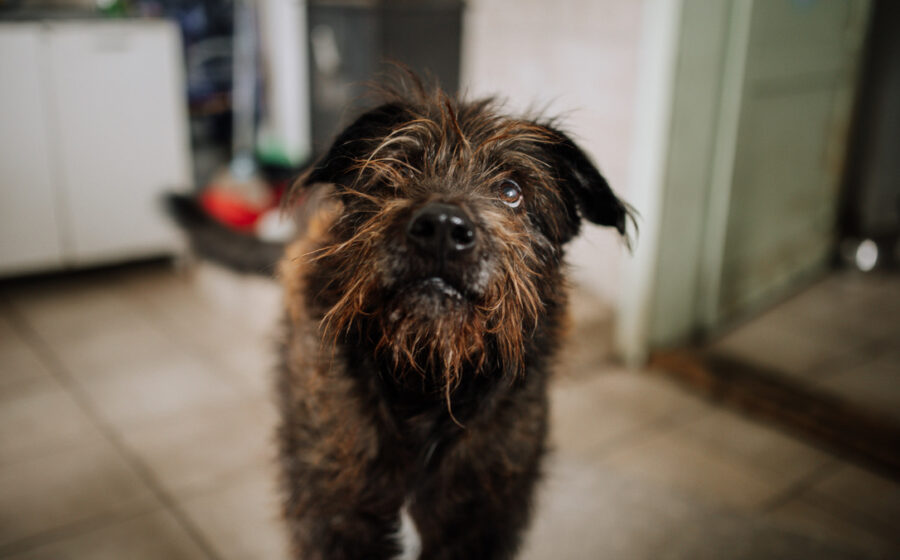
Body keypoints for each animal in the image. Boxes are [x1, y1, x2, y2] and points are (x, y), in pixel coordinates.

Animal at [276, 77, 632, 560]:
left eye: (512, 191)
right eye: (399, 169)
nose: (443, 227)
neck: (427, 383)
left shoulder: (483, 523)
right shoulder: (334, 518)